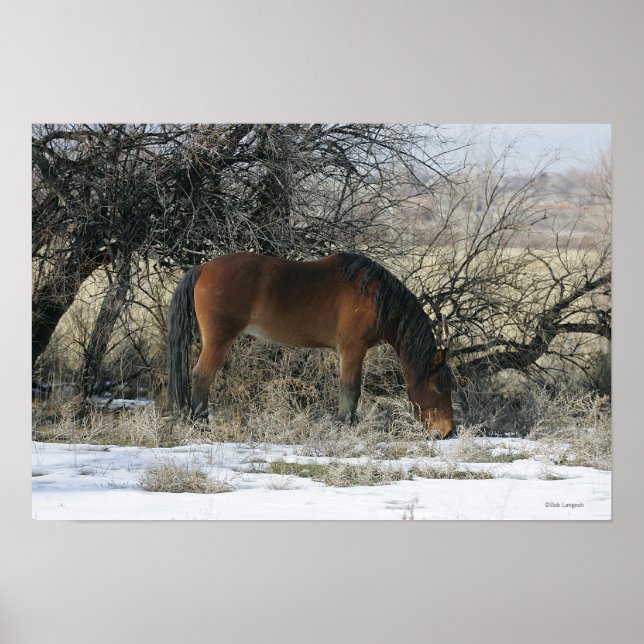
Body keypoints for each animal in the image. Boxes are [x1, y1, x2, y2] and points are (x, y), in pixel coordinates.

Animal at [167, 252, 454, 438]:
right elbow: (350, 390)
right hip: (218, 341)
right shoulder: (353, 349)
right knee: (202, 376)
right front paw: (347, 428)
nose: (447, 432)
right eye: (440, 386)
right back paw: (201, 426)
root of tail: (203, 268)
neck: (375, 295)